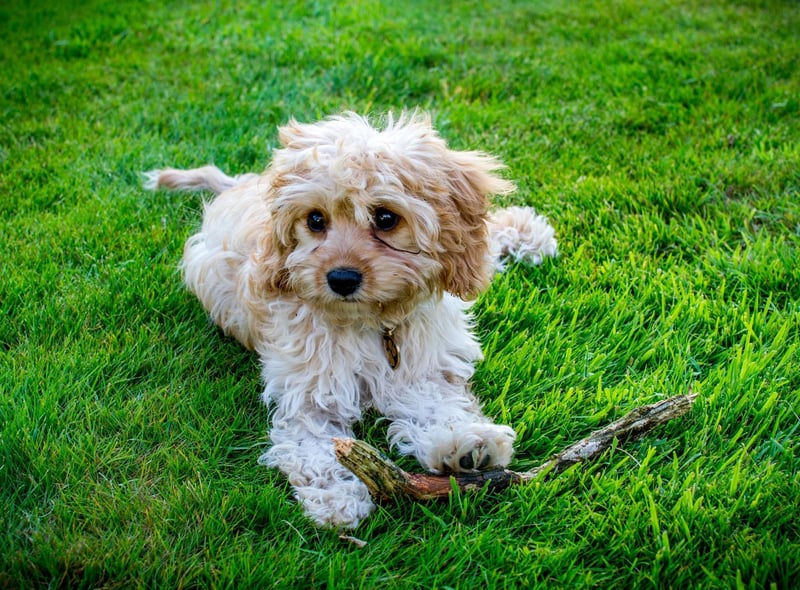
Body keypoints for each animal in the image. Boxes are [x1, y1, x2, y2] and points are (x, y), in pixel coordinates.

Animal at [145, 113, 556, 528]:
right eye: (315, 220)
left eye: (386, 217)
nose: (341, 279)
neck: (373, 322)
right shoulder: (309, 393)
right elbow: (316, 446)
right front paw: (337, 496)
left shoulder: (421, 368)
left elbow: (437, 404)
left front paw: (465, 445)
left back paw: (528, 232)